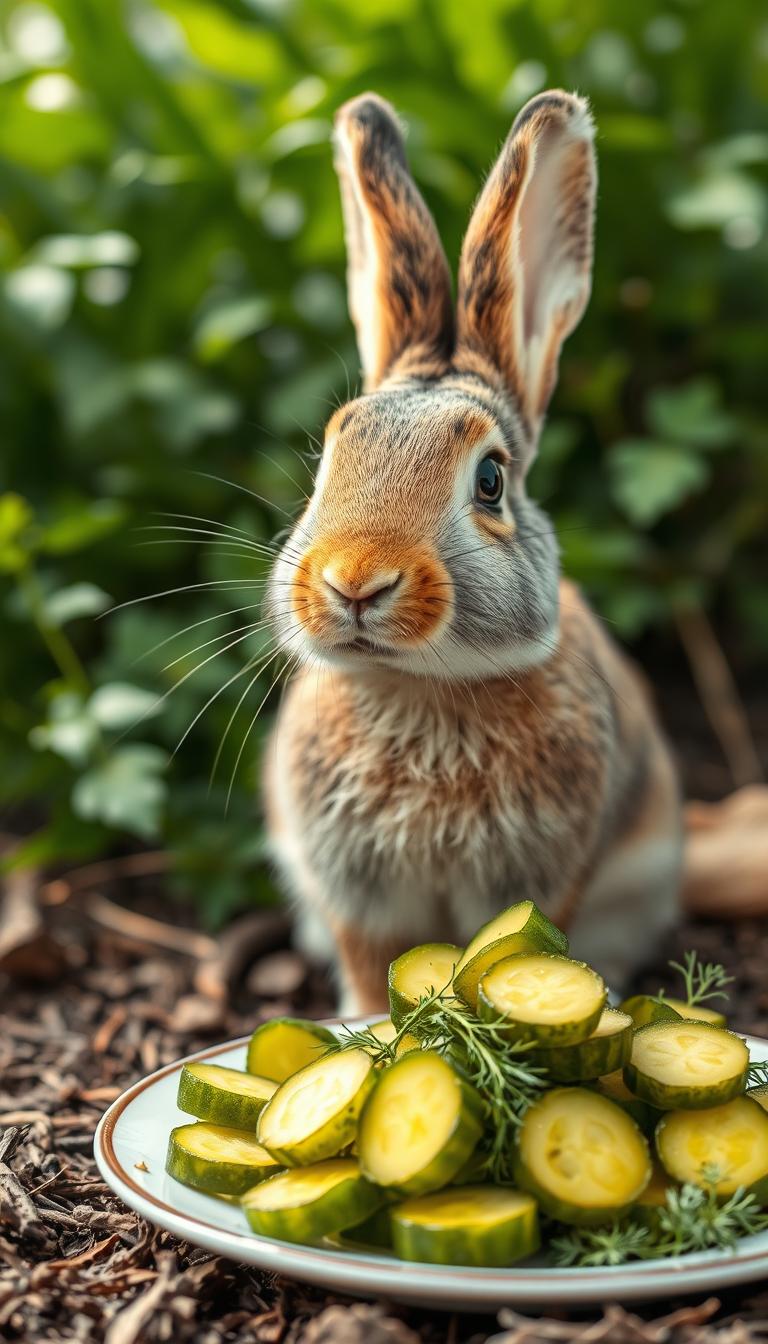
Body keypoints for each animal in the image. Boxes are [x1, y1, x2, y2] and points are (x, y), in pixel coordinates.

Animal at [264, 89, 683, 1014]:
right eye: (328, 461)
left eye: (490, 480)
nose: (354, 582)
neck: (422, 688)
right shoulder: (356, 895)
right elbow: (367, 963)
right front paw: (364, 1024)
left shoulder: (538, 874)